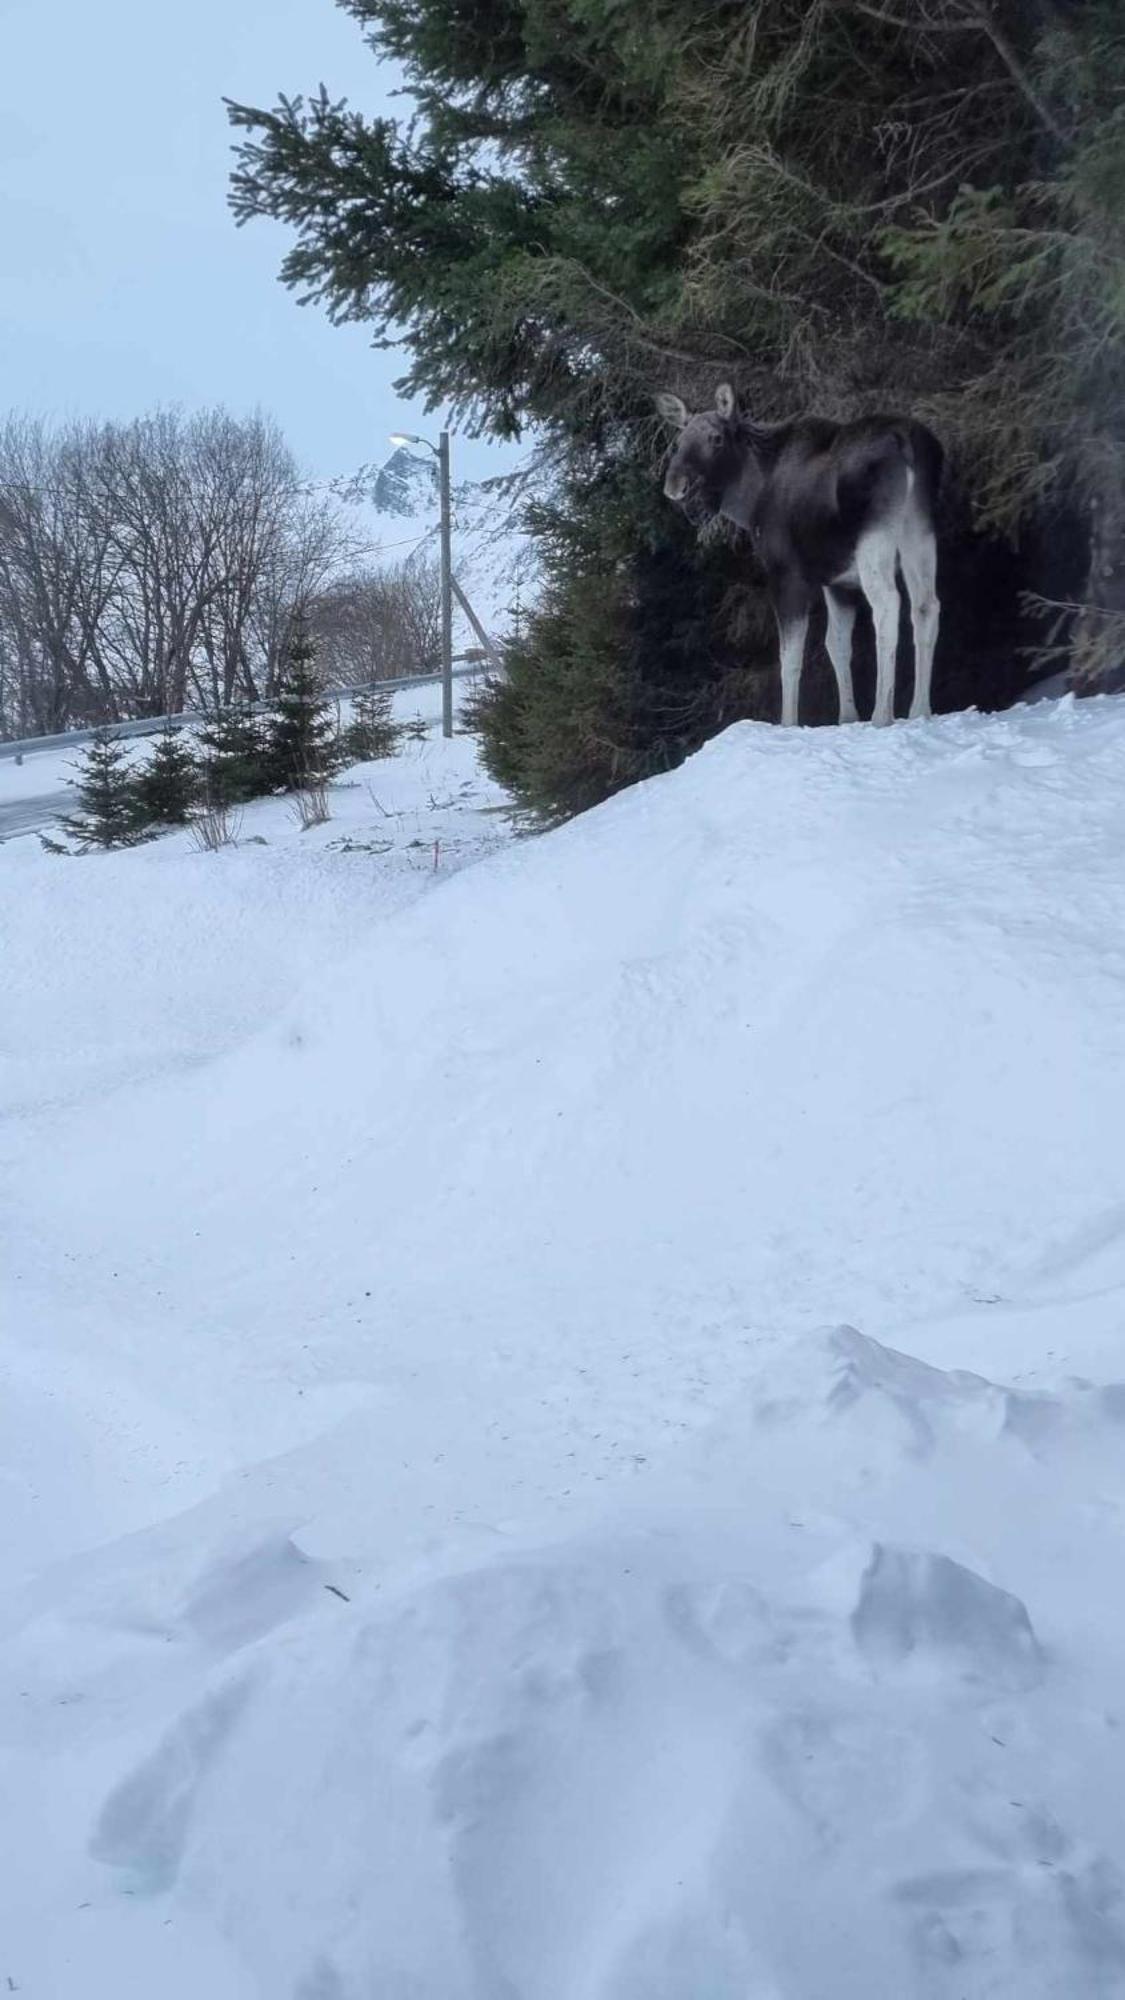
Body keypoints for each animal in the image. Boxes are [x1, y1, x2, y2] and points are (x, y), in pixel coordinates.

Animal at [652, 382, 940, 728]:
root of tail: (907, 441)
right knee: (926, 605)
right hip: (919, 529)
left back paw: (882, 714)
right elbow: (837, 645)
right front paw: (846, 717)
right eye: (679, 441)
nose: (675, 485)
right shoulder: (837, 581)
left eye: (716, 438)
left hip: (876, 537)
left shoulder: (785, 573)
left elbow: (789, 655)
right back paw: (920, 710)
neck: (750, 501)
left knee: (887, 604)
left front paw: (788, 721)